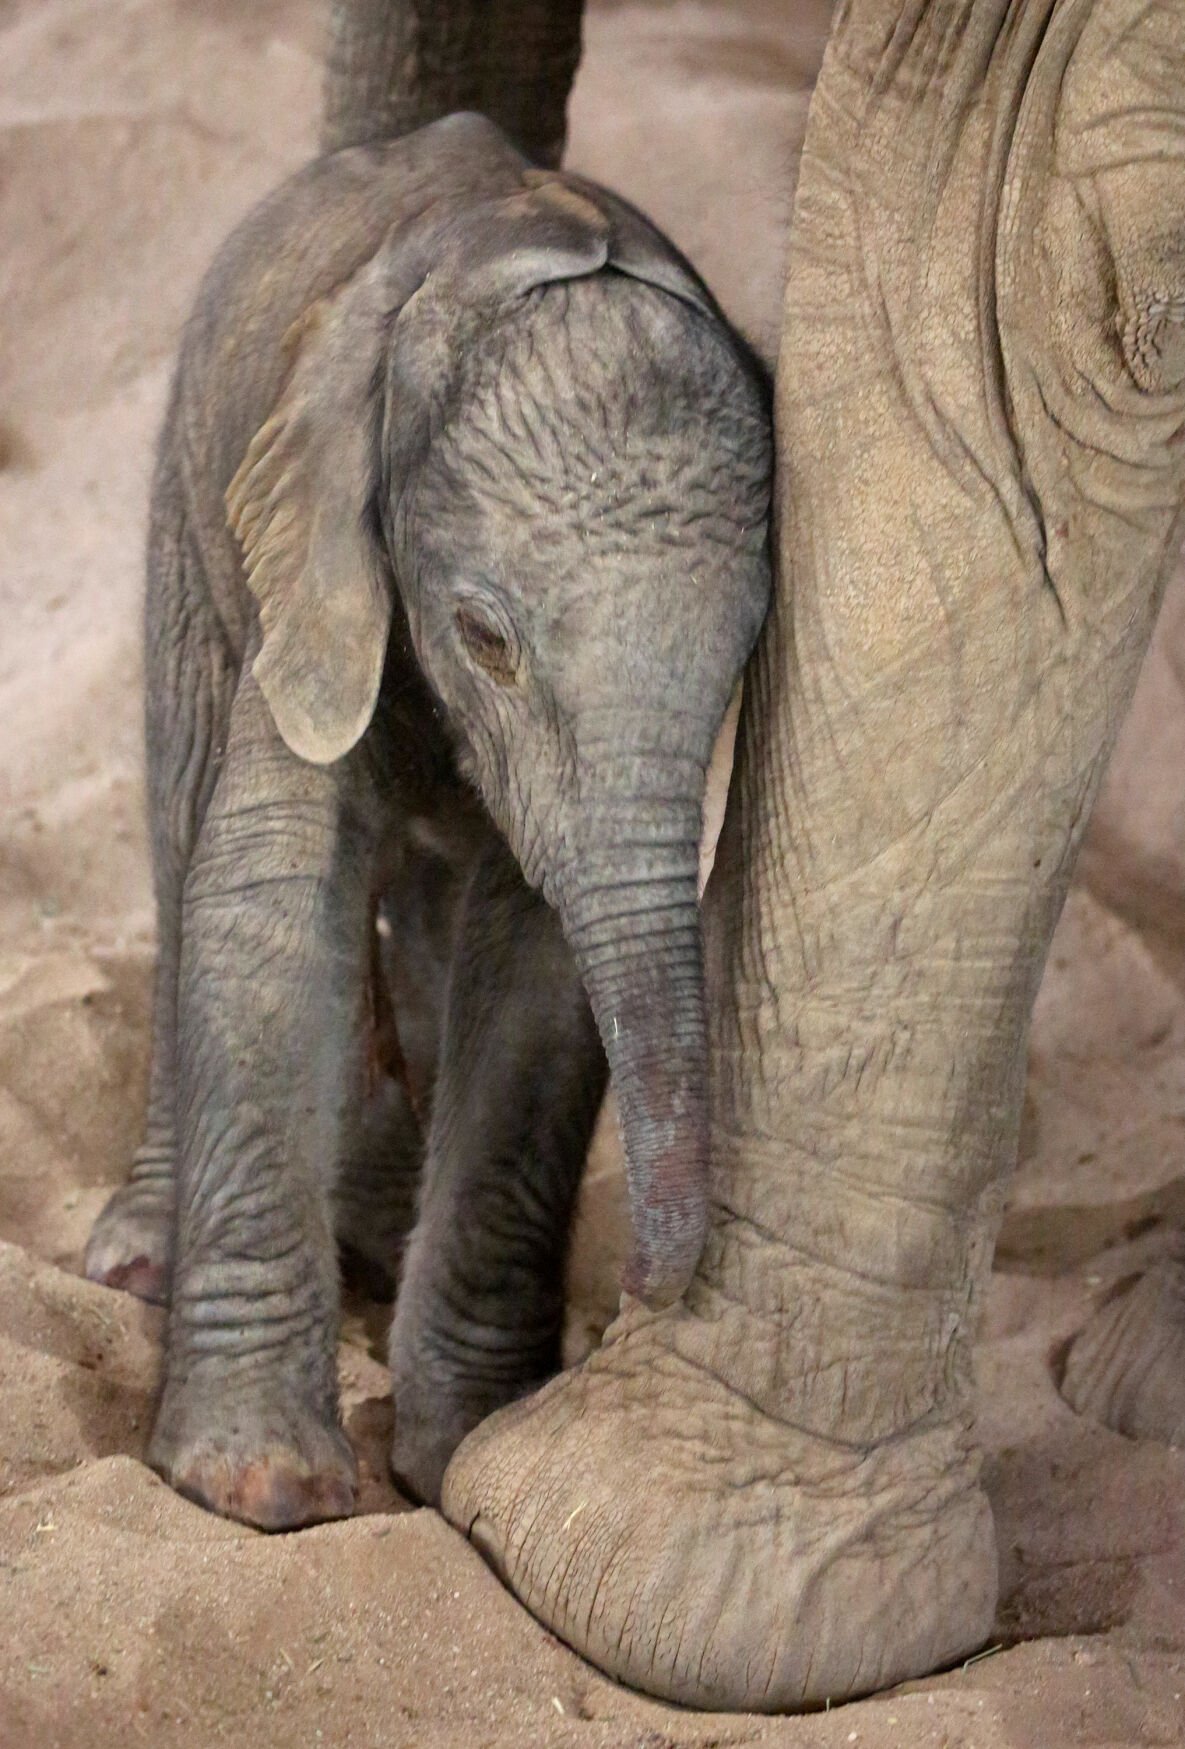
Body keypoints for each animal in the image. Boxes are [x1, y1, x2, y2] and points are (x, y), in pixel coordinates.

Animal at [83, 112, 769, 1532]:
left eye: (747, 659)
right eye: (485, 638)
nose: (638, 1304)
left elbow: (540, 978)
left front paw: (462, 1450)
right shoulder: (311, 551)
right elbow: (265, 909)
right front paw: (258, 1486)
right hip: (189, 507)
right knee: (180, 834)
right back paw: (138, 1265)